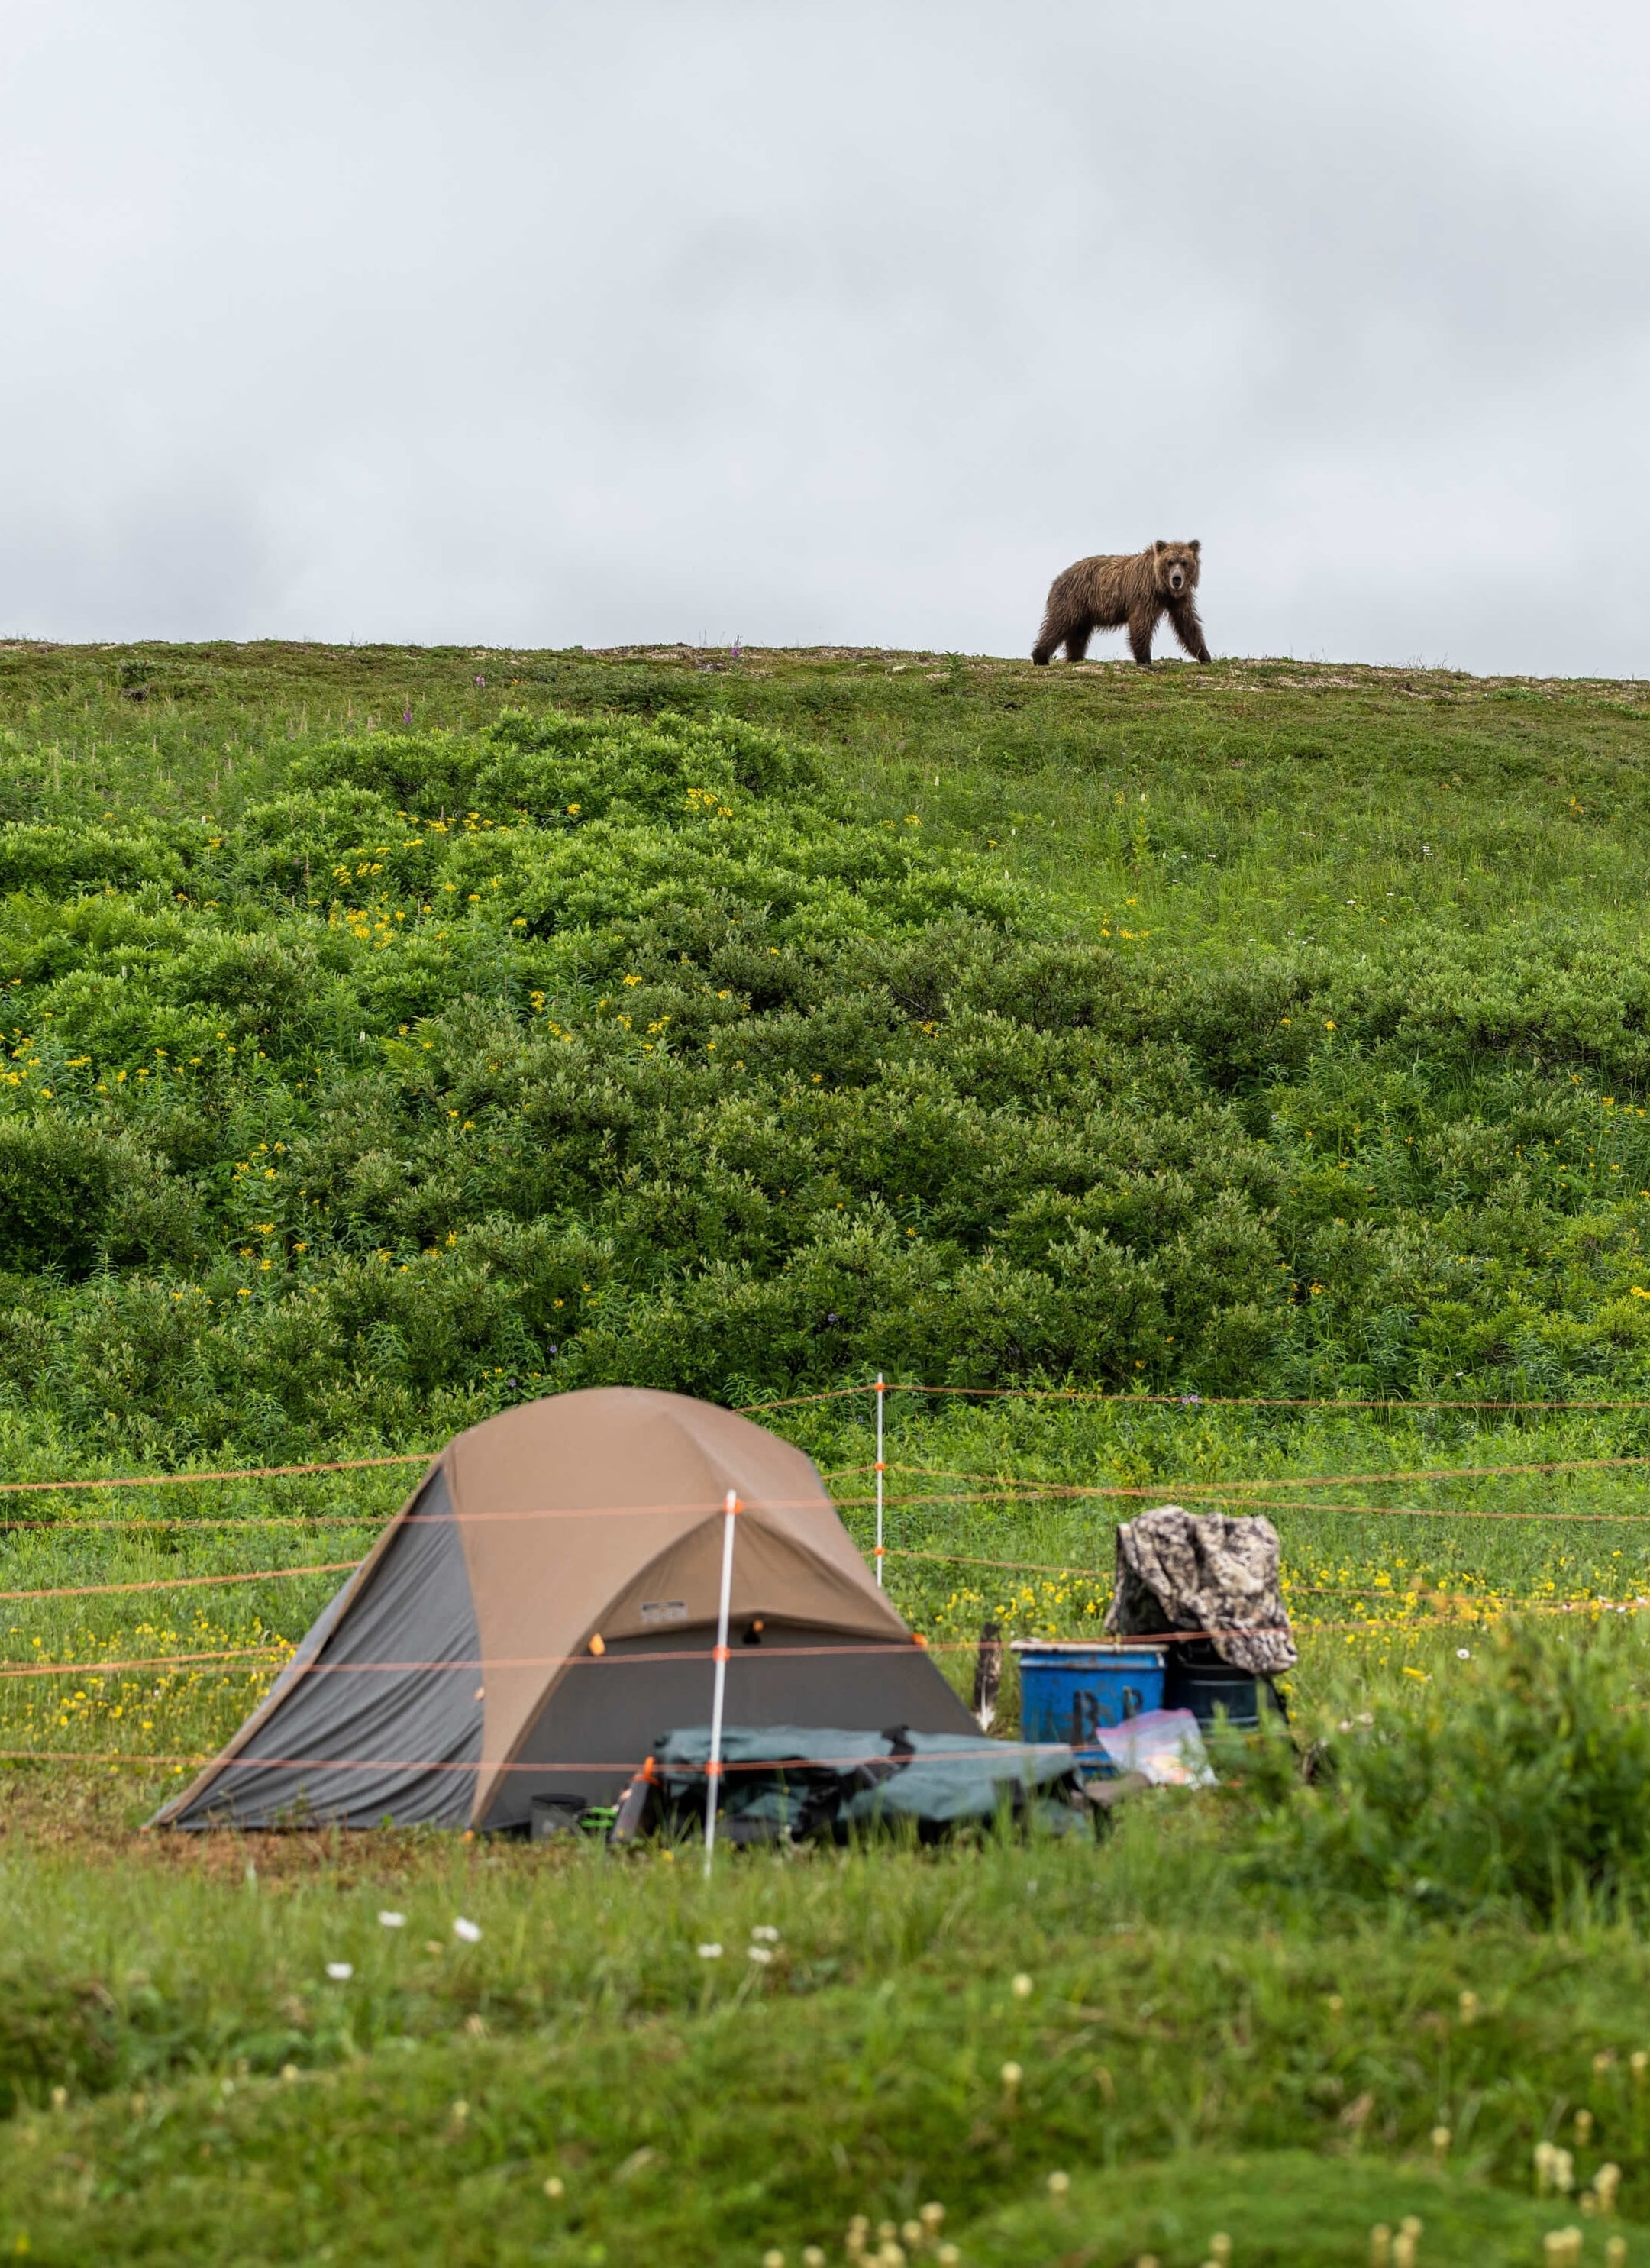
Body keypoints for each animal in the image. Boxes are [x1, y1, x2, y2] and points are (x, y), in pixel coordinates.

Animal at [1033, 539, 1215, 662]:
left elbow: (1187, 623)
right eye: (1170, 562)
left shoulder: (1179, 600)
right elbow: (1141, 623)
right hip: (1073, 599)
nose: (1177, 579)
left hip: (1084, 612)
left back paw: (1074, 657)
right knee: (1058, 624)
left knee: (1078, 636)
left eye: (1184, 562)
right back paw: (1039, 656)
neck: (1161, 587)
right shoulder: (1145, 595)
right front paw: (1145, 660)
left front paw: (1205, 655)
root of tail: (1059, 578)